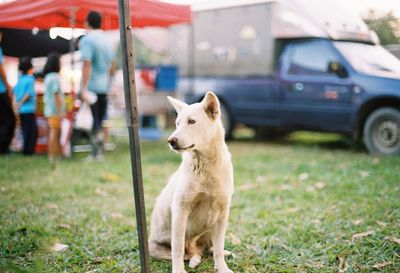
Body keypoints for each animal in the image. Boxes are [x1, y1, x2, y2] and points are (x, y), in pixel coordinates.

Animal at [150, 92, 234, 272]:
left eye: (192, 121)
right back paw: (193, 258)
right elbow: (178, 248)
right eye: (177, 123)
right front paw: (178, 270)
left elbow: (218, 248)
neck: (206, 166)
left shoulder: (222, 213)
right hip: (157, 247)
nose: (171, 141)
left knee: (209, 248)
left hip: (212, 226)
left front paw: (222, 267)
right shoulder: (180, 211)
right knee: (187, 253)